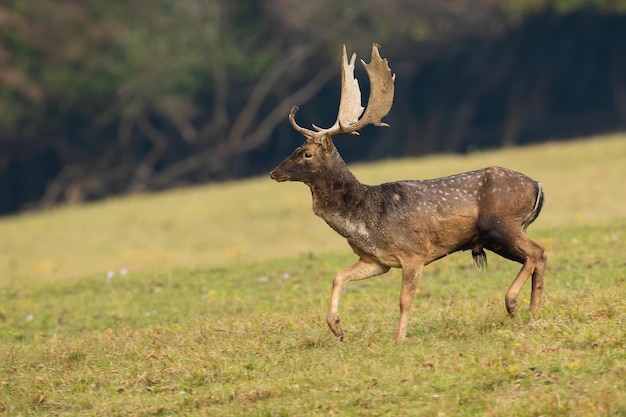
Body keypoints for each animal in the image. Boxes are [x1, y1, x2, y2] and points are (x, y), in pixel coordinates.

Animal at [270, 44, 544, 342]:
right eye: (296, 149)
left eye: (306, 153)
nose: (274, 172)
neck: (365, 218)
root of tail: (537, 186)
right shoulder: (376, 260)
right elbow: (338, 276)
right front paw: (337, 328)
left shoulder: (414, 253)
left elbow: (404, 300)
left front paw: (399, 339)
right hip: (494, 238)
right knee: (537, 256)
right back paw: (534, 310)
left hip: (503, 225)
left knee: (536, 252)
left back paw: (513, 303)